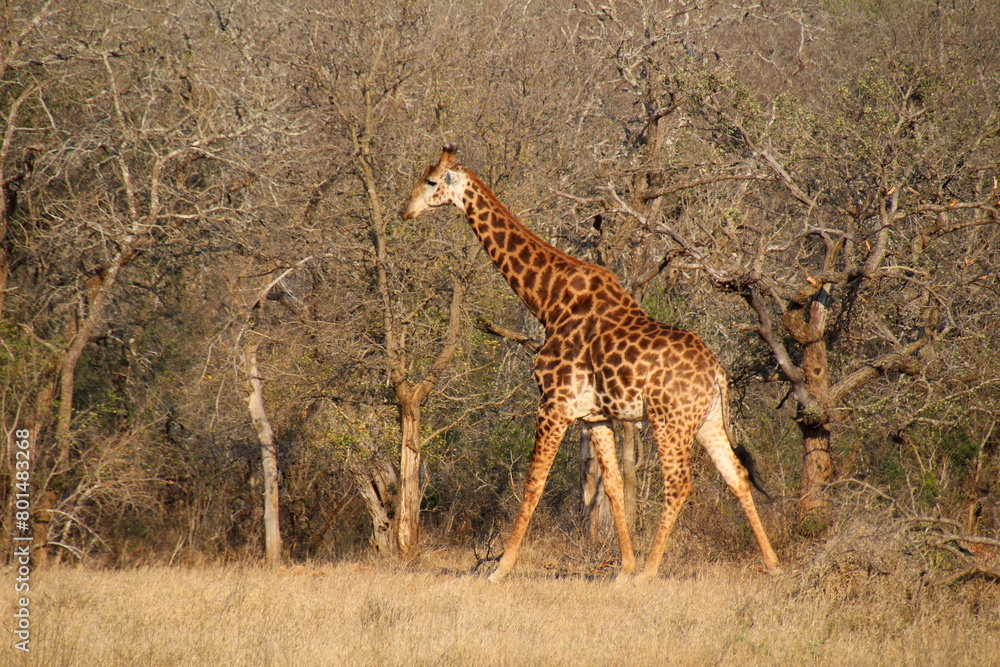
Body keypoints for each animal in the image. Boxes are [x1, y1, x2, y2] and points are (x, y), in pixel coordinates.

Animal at [402, 144, 780, 581]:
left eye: (431, 180)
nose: (405, 211)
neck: (548, 301)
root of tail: (718, 373)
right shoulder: (595, 415)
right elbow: (612, 486)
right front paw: (622, 570)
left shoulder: (554, 402)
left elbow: (534, 482)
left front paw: (500, 569)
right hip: (706, 420)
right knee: (736, 474)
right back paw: (771, 564)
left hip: (669, 421)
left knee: (680, 483)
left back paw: (651, 571)